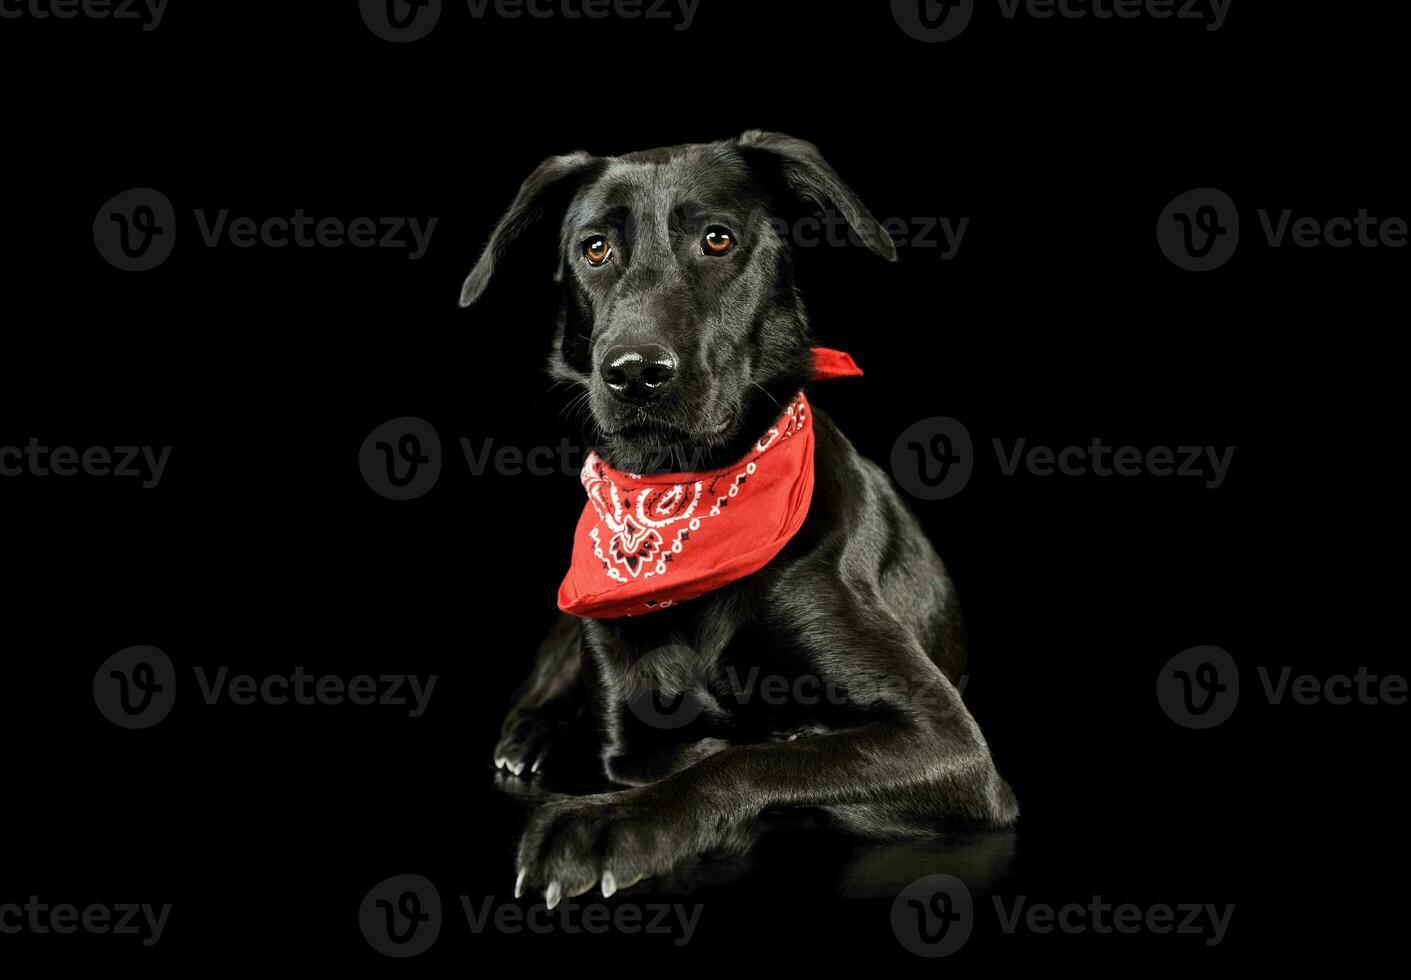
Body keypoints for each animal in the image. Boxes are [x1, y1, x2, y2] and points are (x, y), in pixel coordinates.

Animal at [459, 133, 1015, 908]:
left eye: (717, 239)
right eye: (595, 248)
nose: (634, 372)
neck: (685, 500)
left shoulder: (948, 739)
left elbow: (749, 760)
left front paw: (605, 823)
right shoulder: (635, 735)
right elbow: (691, 751)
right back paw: (533, 735)